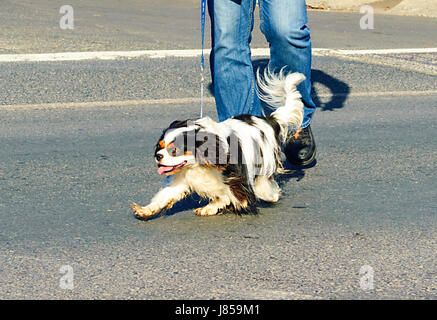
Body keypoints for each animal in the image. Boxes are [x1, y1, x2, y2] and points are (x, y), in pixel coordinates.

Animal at [131, 69, 304, 220]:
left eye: (174, 150)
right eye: (160, 147)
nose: (158, 156)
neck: (200, 164)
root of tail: (269, 120)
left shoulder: (236, 181)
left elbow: (229, 196)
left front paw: (209, 207)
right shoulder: (182, 178)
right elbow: (165, 195)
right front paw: (145, 210)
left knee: (265, 187)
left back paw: (272, 195)